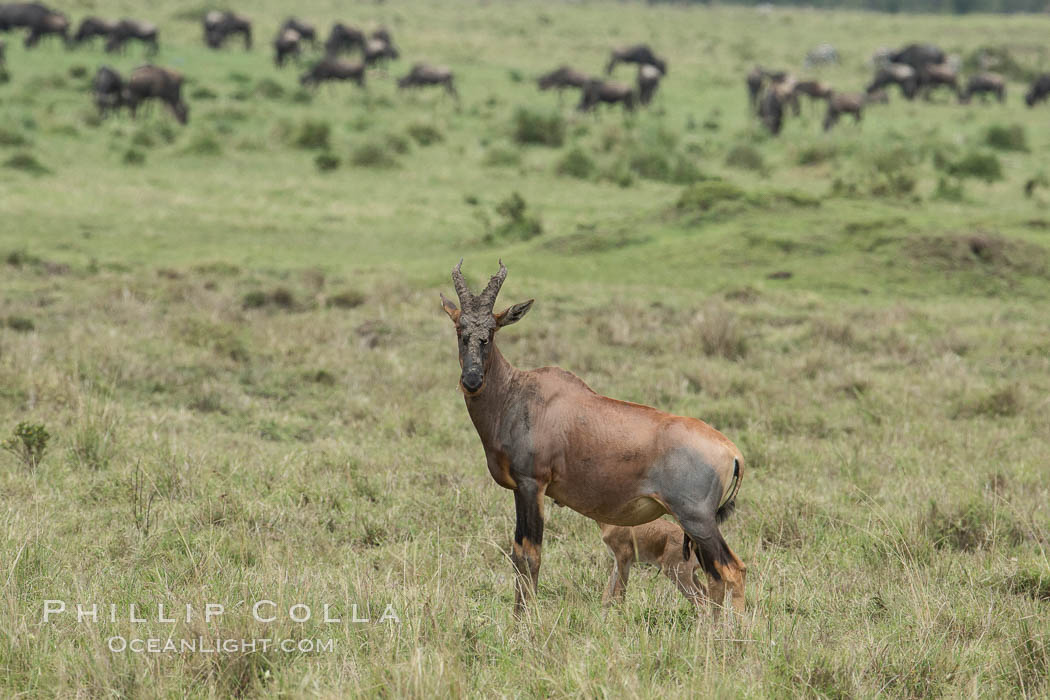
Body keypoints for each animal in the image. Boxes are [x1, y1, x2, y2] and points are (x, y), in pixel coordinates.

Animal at [443, 262, 747, 617]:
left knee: (732, 570)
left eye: (491, 331)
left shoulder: (532, 485)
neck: (517, 392)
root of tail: (732, 451)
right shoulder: (524, 489)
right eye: (460, 328)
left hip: (697, 519)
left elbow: (529, 555)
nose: (472, 380)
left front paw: (524, 623)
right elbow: (520, 554)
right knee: (716, 576)